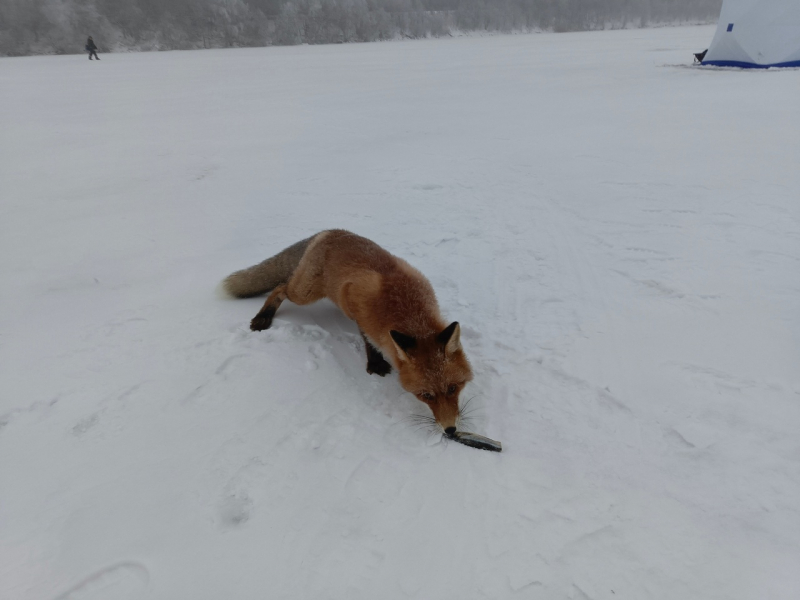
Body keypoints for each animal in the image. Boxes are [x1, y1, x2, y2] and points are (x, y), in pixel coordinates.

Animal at [222, 229, 473, 434]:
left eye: (453, 388)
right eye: (426, 395)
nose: (450, 430)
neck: (407, 308)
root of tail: (329, 231)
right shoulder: (354, 303)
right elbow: (367, 338)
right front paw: (374, 362)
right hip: (304, 293)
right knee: (279, 288)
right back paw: (263, 316)